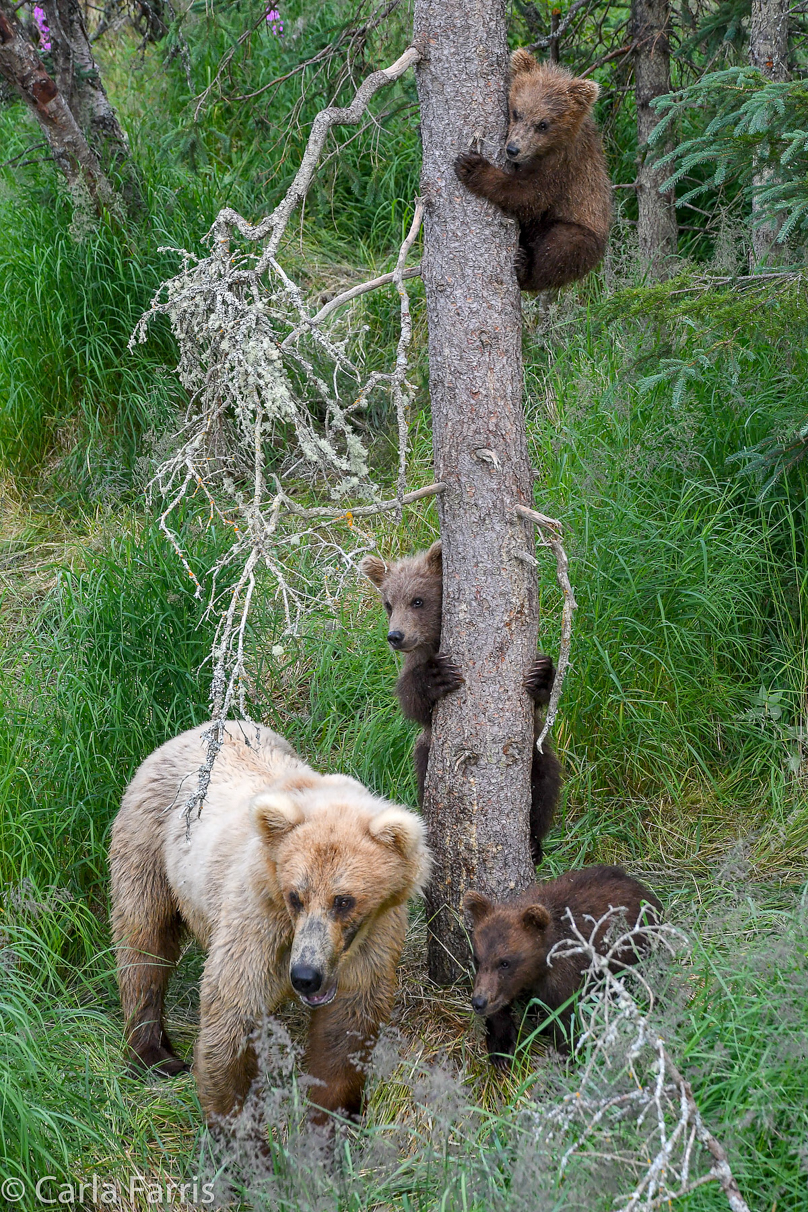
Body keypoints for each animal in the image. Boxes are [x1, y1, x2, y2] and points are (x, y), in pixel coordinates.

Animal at [112, 717, 436, 1124]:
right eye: (295, 896)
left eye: (343, 900)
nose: (305, 976)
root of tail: (193, 730)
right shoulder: (259, 919)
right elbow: (231, 1013)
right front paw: (234, 1124)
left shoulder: (374, 935)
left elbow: (345, 1029)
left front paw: (329, 1117)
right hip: (149, 842)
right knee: (144, 942)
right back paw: (154, 1055)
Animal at [360, 545, 562, 867]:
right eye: (388, 604)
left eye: (418, 600)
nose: (396, 636)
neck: (435, 639)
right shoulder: (416, 664)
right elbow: (412, 702)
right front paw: (437, 676)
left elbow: (545, 697)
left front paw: (541, 674)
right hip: (427, 751)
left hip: (535, 750)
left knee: (545, 781)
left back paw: (533, 842)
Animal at [455, 50, 612, 292]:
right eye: (517, 112)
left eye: (543, 124)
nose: (513, 149)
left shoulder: (561, 166)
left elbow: (529, 195)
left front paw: (473, 167)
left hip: (583, 231)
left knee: (561, 248)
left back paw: (524, 268)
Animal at [465, 862, 658, 1071]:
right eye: (477, 958)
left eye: (505, 962)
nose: (479, 1002)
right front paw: (500, 1048)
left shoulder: (566, 976)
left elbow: (567, 1019)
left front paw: (565, 1057)